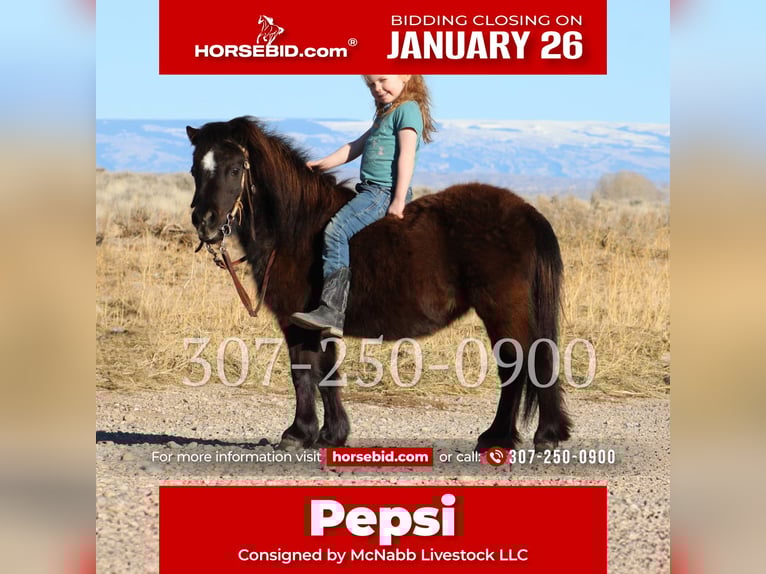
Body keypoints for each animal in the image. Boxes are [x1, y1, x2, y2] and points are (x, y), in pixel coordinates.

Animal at [186, 116, 572, 452]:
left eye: (235, 169)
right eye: (195, 169)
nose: (205, 222)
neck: (295, 228)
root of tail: (527, 213)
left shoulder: (296, 320)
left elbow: (305, 371)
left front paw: (299, 433)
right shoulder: (315, 322)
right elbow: (324, 371)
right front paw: (329, 434)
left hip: (501, 309)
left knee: (516, 365)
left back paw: (505, 437)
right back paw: (536, 434)